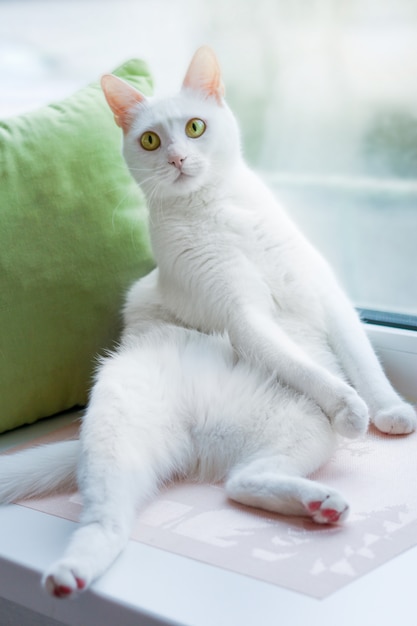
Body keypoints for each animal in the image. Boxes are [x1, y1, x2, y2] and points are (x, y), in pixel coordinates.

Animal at [0, 45, 414, 596]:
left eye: (195, 128)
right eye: (151, 140)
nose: (177, 158)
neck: (217, 209)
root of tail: (197, 436)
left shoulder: (325, 292)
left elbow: (363, 360)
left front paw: (387, 410)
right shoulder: (242, 314)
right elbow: (304, 364)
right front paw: (350, 406)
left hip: (303, 430)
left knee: (239, 484)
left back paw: (319, 504)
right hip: (122, 432)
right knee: (107, 518)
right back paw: (71, 573)